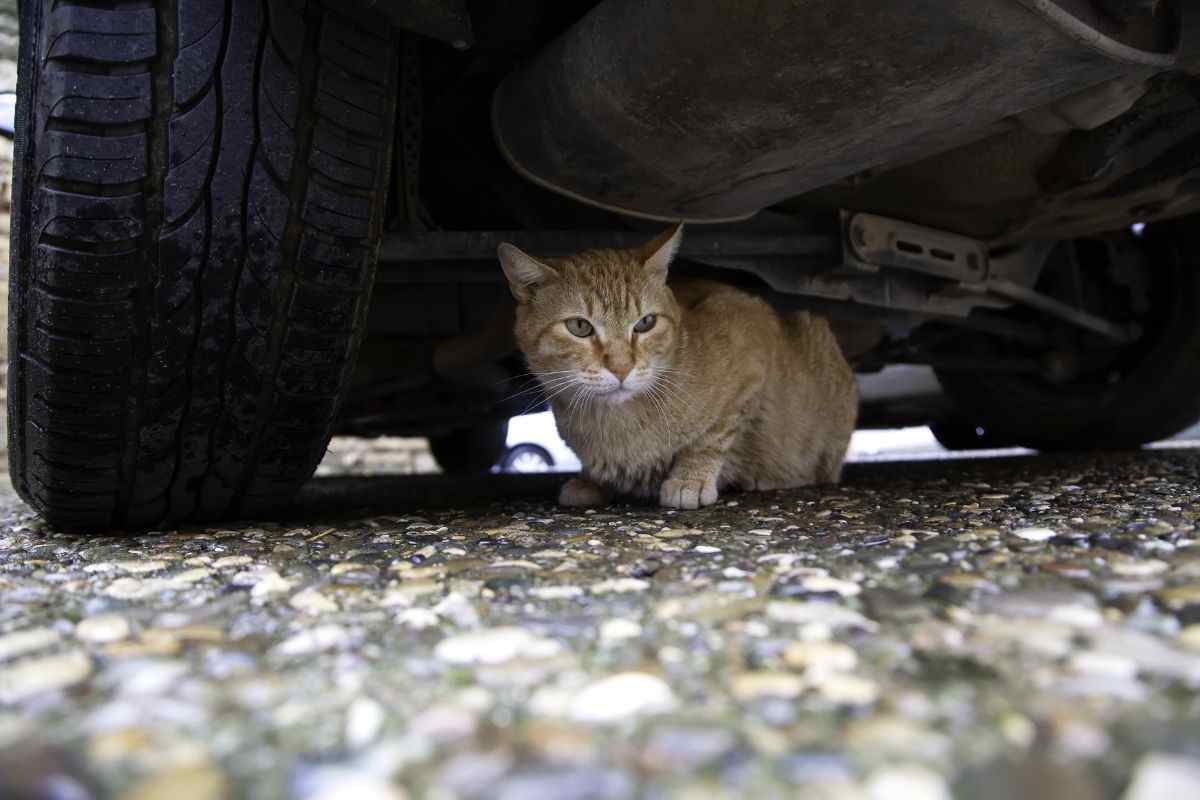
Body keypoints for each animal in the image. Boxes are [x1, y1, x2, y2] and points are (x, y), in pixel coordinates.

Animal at [494, 224, 854, 506]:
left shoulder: (749, 335)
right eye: (579, 327)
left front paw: (690, 478)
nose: (622, 368)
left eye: (646, 323)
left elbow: (714, 434)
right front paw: (591, 480)